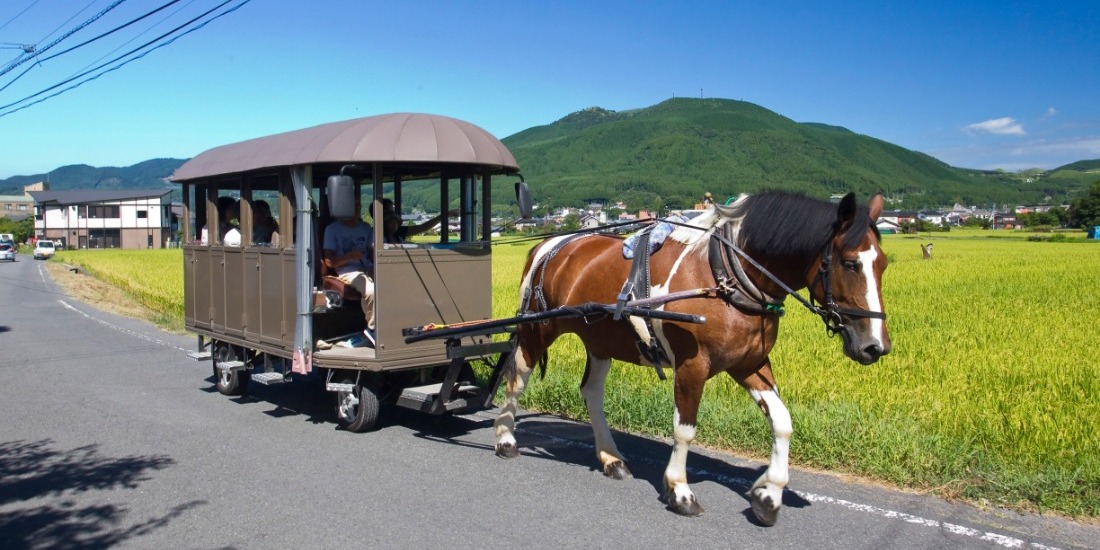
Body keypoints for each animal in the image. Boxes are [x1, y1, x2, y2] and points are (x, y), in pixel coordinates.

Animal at [495, 191, 888, 525]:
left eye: (883, 264)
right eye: (850, 264)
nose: (876, 346)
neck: (727, 275)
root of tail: (548, 244)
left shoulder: (750, 365)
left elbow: (782, 422)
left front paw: (769, 493)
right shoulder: (692, 365)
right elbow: (684, 429)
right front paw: (680, 490)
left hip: (599, 337)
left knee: (591, 392)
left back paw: (610, 457)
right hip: (537, 328)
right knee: (516, 379)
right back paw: (505, 438)